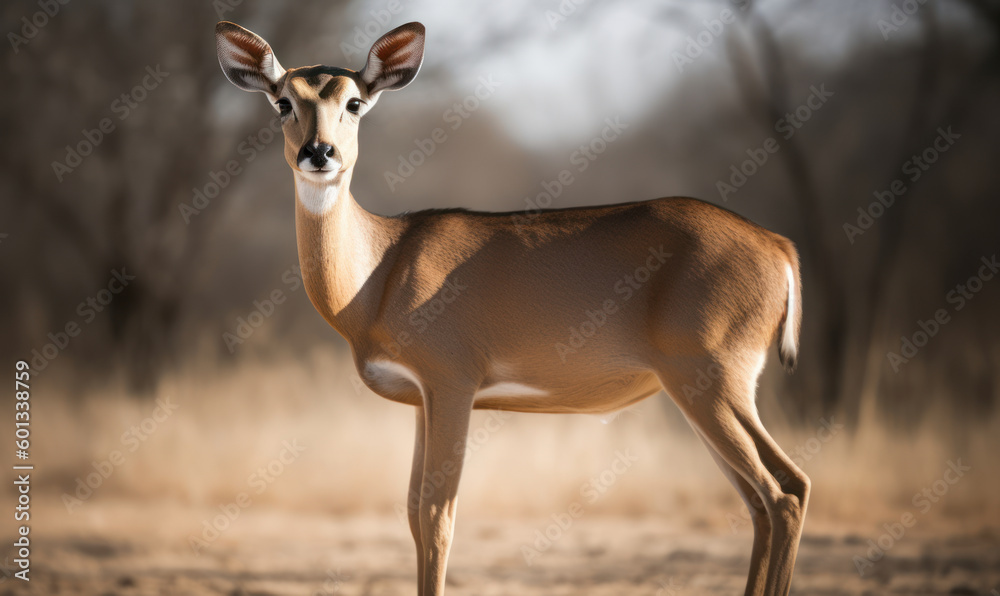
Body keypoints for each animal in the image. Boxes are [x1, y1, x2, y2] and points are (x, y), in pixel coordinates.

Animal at [216, 20, 809, 596]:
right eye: (283, 101)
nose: (319, 153)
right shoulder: (422, 401)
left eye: (355, 101)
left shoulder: (452, 384)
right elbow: (411, 513)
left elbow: (437, 517)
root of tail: (779, 245)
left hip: (712, 381)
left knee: (785, 491)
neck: (380, 271)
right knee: (763, 501)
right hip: (701, 393)